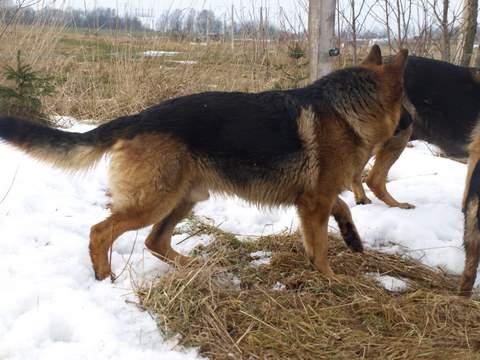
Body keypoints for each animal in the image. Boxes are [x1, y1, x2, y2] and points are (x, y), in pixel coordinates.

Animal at [0, 45, 408, 282]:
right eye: (404, 103)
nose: (410, 124)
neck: (346, 110)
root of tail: (137, 118)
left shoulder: (315, 198)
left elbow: (343, 207)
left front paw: (352, 237)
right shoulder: (313, 203)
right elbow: (320, 247)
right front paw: (330, 280)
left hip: (185, 199)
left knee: (155, 241)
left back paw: (196, 269)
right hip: (155, 202)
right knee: (101, 231)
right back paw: (105, 277)